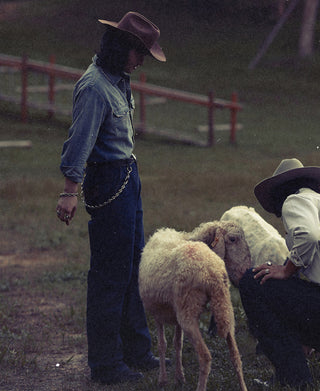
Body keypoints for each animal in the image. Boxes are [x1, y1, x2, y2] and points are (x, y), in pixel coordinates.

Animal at [139, 222, 251, 390]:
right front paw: (179, 377)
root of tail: (212, 273)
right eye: (232, 239)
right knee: (236, 356)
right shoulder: (172, 312)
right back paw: (243, 386)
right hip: (225, 307)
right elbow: (177, 343)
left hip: (188, 314)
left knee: (205, 357)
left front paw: (163, 380)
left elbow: (162, 344)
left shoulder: (159, 313)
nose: (246, 271)